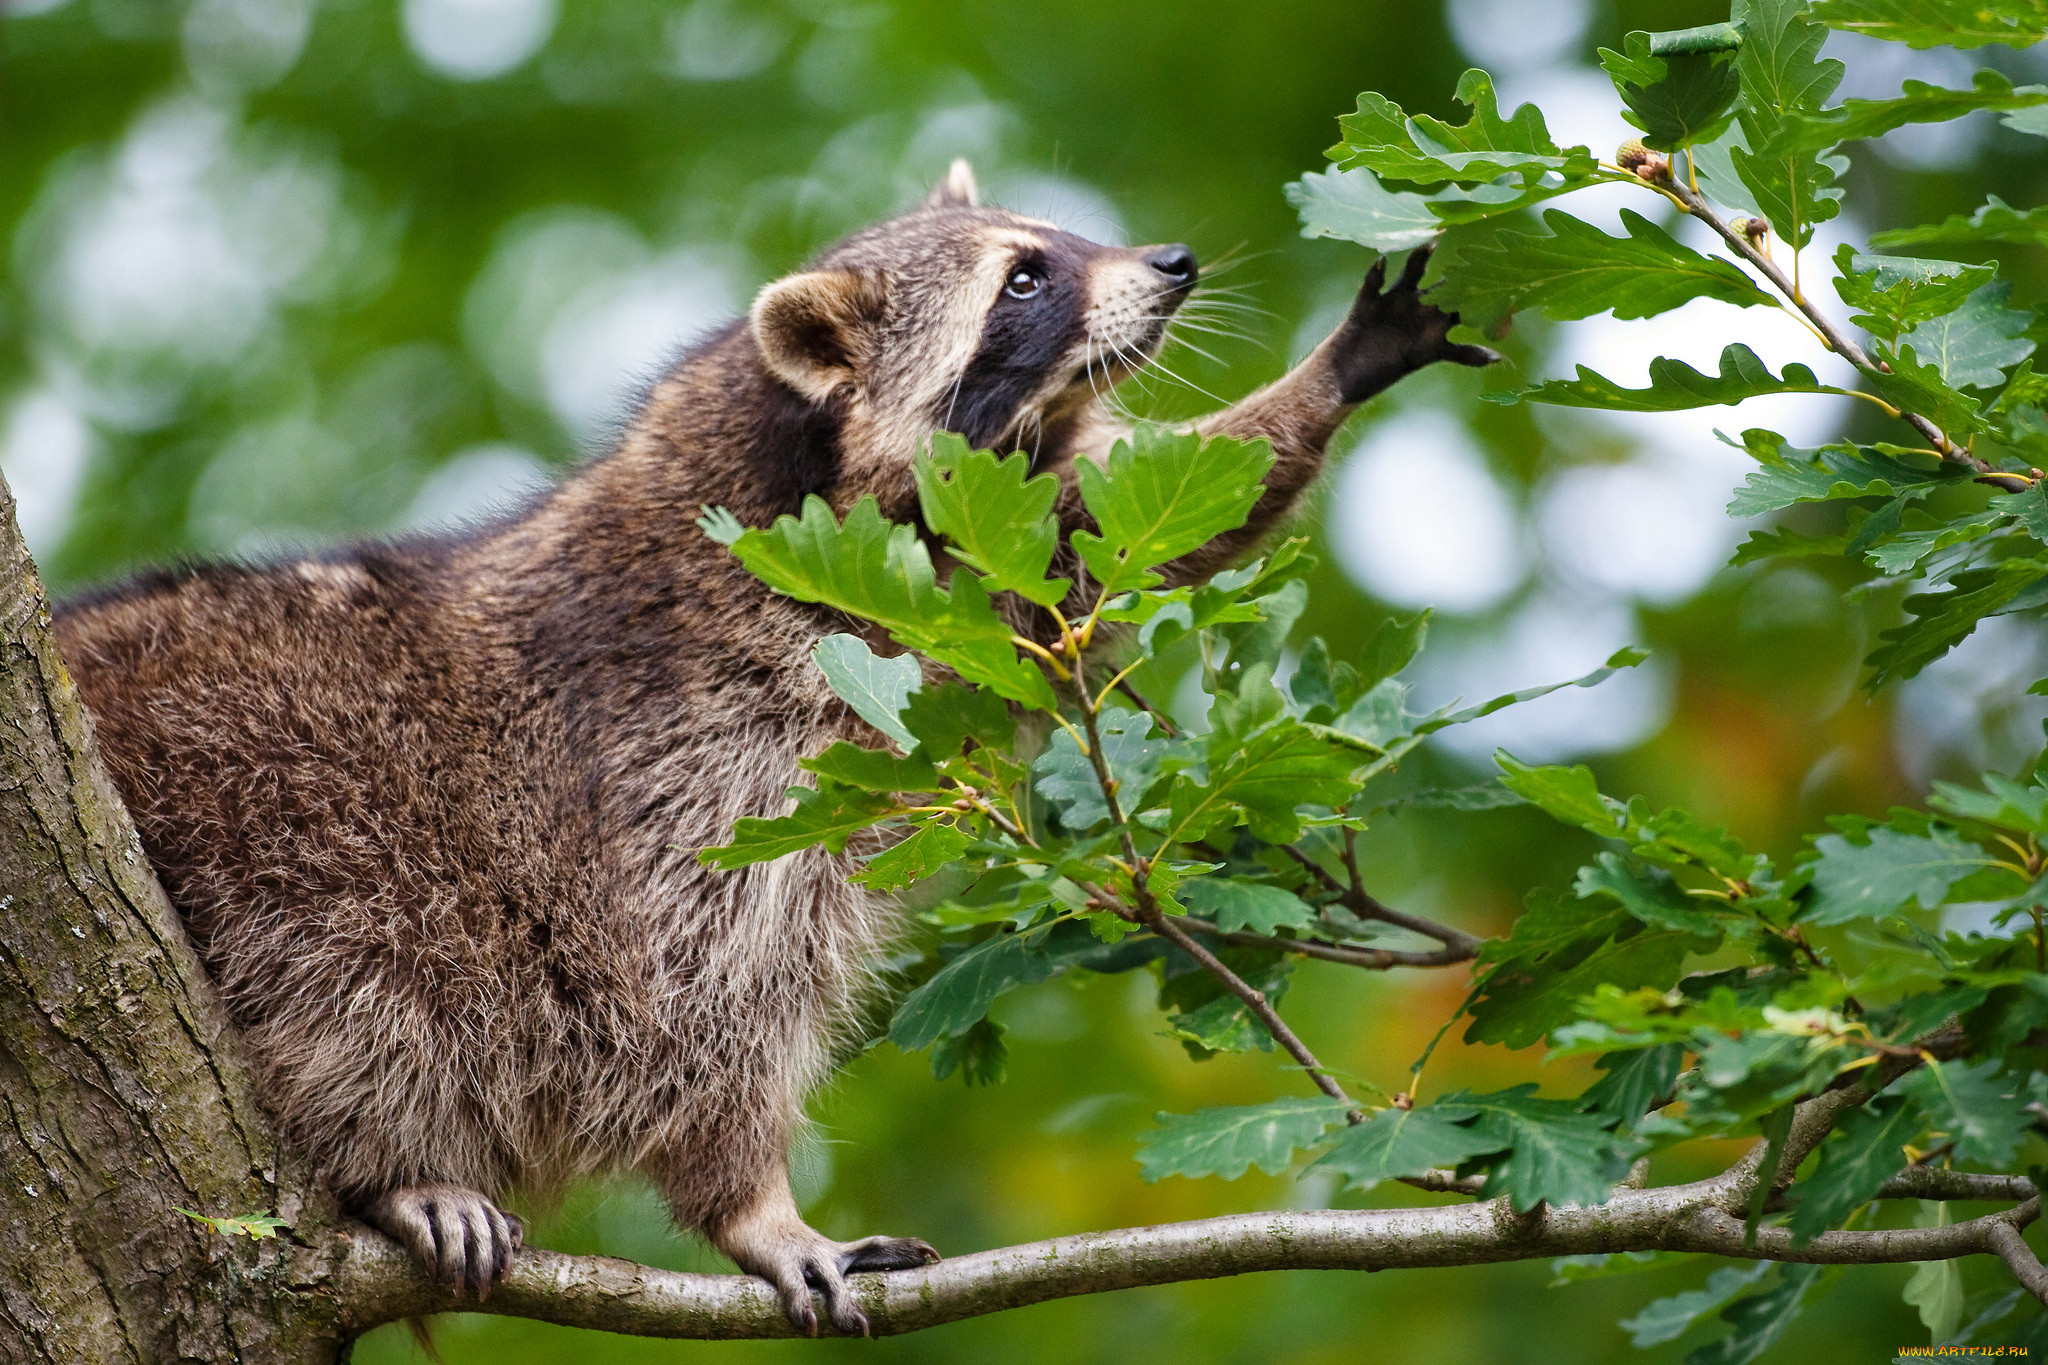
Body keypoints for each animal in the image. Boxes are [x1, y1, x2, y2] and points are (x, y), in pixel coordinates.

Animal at [48, 160, 1490, 1334]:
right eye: (1024, 276)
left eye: (1062, 234)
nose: (1173, 264)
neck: (804, 465)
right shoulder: (691, 749)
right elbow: (694, 1001)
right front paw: (754, 1208)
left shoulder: (993, 569)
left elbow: (1151, 518)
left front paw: (1329, 371)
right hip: (278, 797)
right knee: (363, 977)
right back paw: (397, 1167)